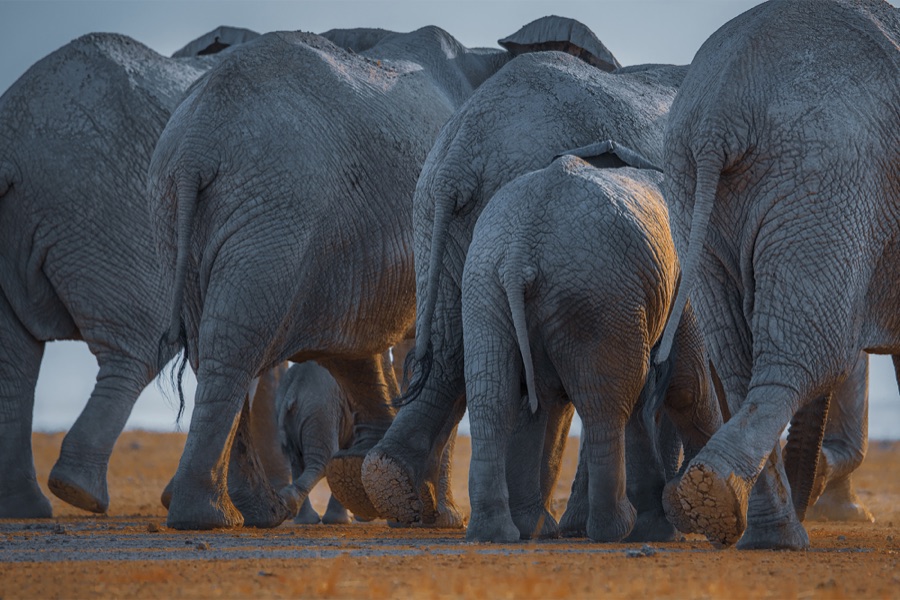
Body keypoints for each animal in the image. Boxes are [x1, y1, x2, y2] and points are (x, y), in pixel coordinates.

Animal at [0, 29, 250, 518]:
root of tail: (11, 144)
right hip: (105, 210)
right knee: (141, 346)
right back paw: (78, 493)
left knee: (14, 361)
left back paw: (27, 508)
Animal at [148, 19, 608, 530]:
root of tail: (195, 143)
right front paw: (435, 514)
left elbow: (364, 342)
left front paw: (376, 485)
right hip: (273, 214)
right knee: (234, 347)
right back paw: (212, 516)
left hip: (189, 211)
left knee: (219, 346)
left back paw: (249, 512)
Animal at [460, 147, 723, 542]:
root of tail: (520, 247)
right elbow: (687, 383)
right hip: (595, 294)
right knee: (609, 402)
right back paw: (614, 528)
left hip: (486, 286)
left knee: (496, 398)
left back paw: (502, 533)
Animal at [654, 0, 900, 549]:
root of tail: (719, 114)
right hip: (824, 181)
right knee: (808, 355)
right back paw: (737, 512)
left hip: (693, 189)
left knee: (737, 359)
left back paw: (743, 522)